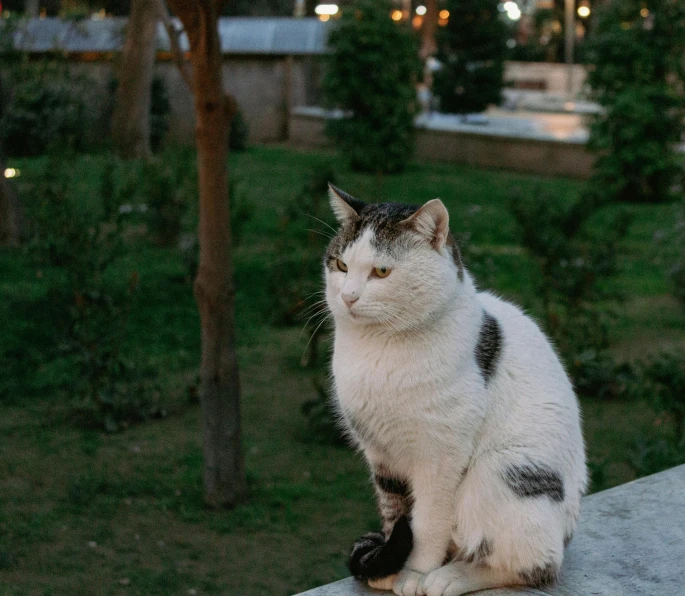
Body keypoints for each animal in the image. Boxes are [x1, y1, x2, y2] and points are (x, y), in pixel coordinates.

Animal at [324, 185, 584, 596]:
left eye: (381, 271)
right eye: (341, 265)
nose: (348, 296)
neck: (379, 349)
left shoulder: (442, 455)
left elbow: (428, 522)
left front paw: (415, 573)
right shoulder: (380, 452)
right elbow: (396, 513)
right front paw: (388, 563)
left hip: (499, 474)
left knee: (535, 566)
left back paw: (453, 575)